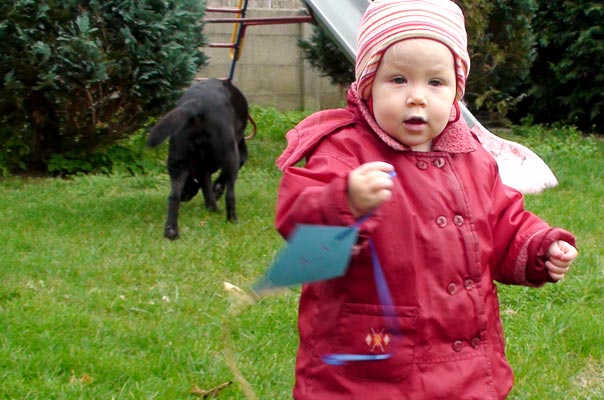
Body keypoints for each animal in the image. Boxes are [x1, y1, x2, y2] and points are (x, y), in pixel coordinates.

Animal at [150, 79, 256, 239]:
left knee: (173, 197)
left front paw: (212, 208)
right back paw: (232, 219)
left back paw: (171, 231)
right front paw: (217, 190)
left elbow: (207, 190)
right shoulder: (238, 151)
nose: (184, 197)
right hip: (230, 153)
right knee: (230, 194)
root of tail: (198, 102)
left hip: (178, 161)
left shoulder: (203, 170)